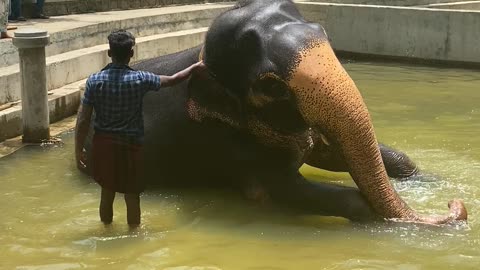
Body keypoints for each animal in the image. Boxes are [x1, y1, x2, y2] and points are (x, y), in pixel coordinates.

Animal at [76, 0, 468, 224]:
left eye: (324, 34)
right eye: (270, 85)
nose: (457, 207)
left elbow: (331, 151)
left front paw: (430, 179)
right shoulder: (222, 141)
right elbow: (276, 189)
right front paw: (371, 218)